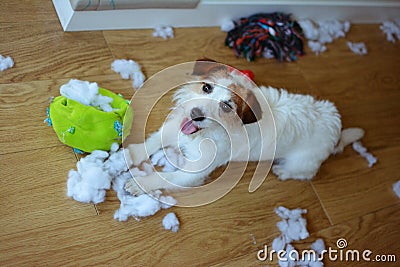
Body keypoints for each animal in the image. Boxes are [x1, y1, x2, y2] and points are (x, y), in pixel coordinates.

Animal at [123, 60, 364, 195]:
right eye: (206, 87)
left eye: (227, 106)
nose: (195, 114)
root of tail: (336, 127)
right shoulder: (178, 128)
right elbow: (155, 140)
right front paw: (133, 153)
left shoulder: (193, 172)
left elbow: (165, 178)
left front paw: (140, 184)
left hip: (303, 162)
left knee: (303, 173)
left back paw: (283, 171)